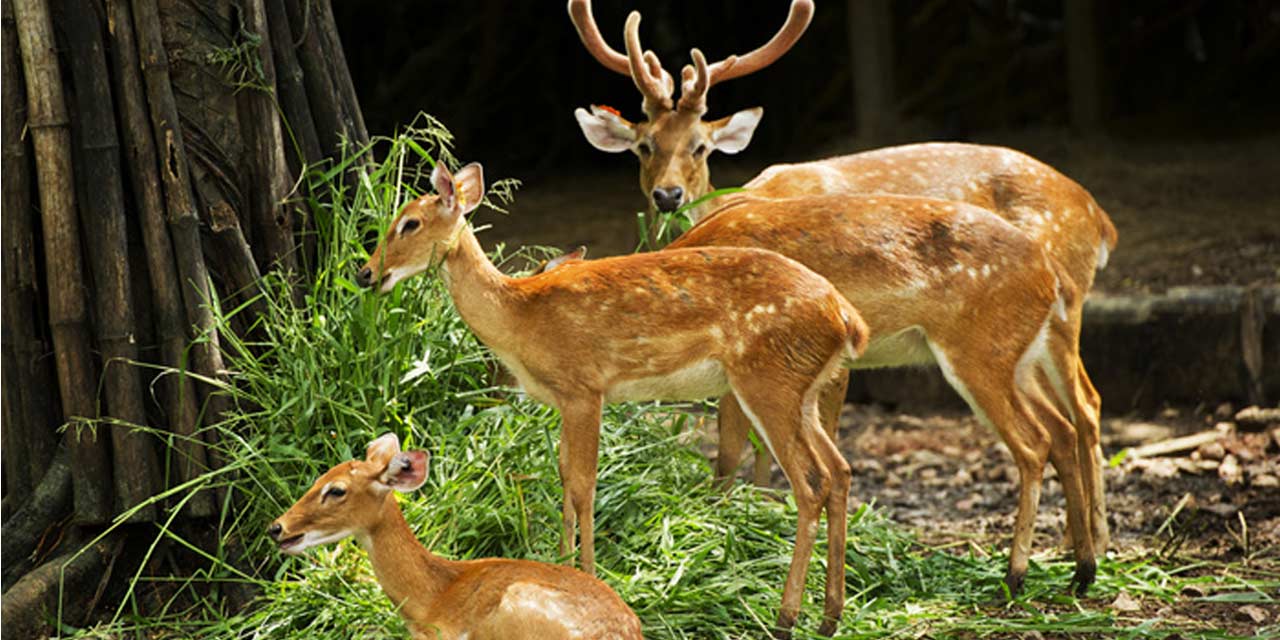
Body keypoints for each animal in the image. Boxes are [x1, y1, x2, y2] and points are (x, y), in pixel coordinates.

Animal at [360, 161, 875, 640]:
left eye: (409, 222)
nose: (366, 273)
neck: (518, 316)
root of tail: (848, 318)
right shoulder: (566, 400)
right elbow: (565, 475)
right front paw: (564, 563)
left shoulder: (585, 388)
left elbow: (584, 483)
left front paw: (588, 571)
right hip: (803, 390)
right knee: (840, 470)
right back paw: (830, 616)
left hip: (769, 381)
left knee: (810, 483)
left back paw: (786, 619)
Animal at [665, 192, 1095, 596]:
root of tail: (1052, 273)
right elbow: (733, 456)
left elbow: (732, 454)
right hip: (1019, 360)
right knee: (1062, 429)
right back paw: (1082, 573)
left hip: (980, 354)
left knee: (1034, 442)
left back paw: (1015, 576)